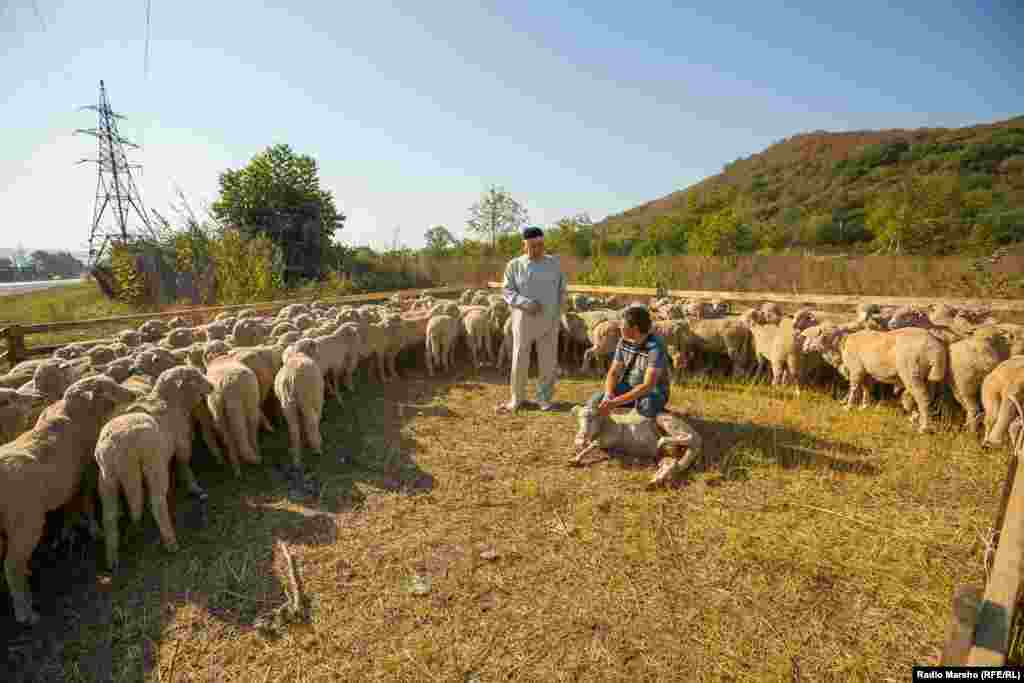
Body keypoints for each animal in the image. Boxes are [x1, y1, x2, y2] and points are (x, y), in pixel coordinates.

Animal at [93, 368, 215, 573]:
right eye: (196, 378)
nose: (212, 386)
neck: (169, 401)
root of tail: (121, 446)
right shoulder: (182, 442)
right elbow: (184, 463)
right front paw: (194, 487)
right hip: (155, 465)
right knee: (157, 502)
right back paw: (171, 542)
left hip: (107, 477)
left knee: (108, 517)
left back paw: (112, 559)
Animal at [274, 339, 325, 473]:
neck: (297, 354)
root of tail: (289, 378)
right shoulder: (317, 399)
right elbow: (316, 417)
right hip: (305, 399)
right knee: (311, 420)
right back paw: (317, 448)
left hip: (287, 405)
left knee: (293, 429)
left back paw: (296, 459)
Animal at [569, 405, 704, 491]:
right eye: (579, 417)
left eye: (594, 416)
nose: (584, 433)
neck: (606, 424)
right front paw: (579, 443)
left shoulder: (609, 437)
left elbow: (592, 445)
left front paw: (576, 459)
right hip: (664, 454)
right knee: (672, 463)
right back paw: (654, 482)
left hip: (667, 421)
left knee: (690, 438)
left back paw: (663, 440)